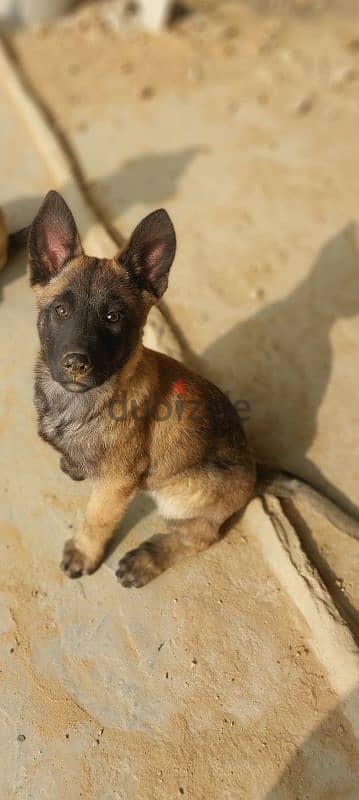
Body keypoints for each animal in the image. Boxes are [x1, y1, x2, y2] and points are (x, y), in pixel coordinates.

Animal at [26, 190, 358, 584]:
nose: (77, 364)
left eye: (114, 317)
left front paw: (83, 552)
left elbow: (97, 519)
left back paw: (149, 558)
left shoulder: (116, 484)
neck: (84, 401)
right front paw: (73, 464)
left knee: (202, 535)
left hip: (183, 494)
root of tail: (256, 472)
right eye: (60, 311)